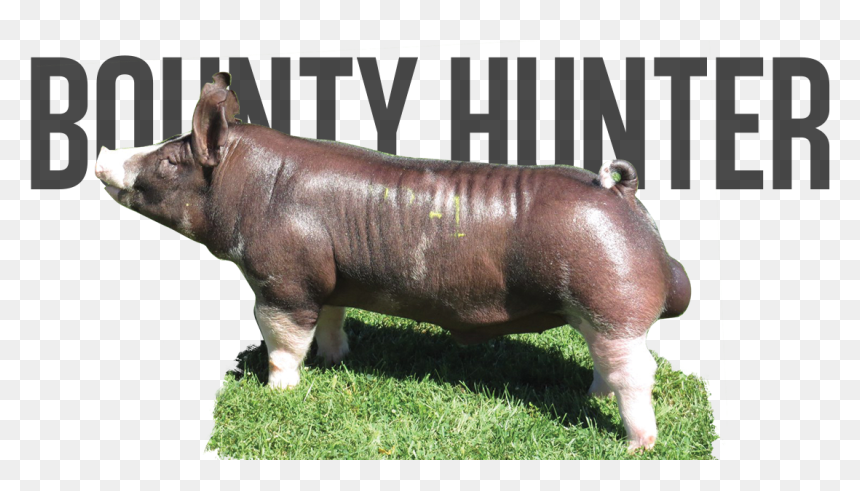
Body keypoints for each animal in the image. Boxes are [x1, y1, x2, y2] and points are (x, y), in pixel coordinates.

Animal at [95, 72, 691, 452]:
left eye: (171, 161)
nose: (101, 156)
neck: (249, 187)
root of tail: (621, 194)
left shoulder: (282, 279)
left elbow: (283, 338)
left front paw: (277, 390)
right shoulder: (328, 278)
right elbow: (330, 320)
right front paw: (335, 361)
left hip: (611, 299)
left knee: (638, 371)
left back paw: (638, 445)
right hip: (593, 312)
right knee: (606, 363)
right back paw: (591, 396)